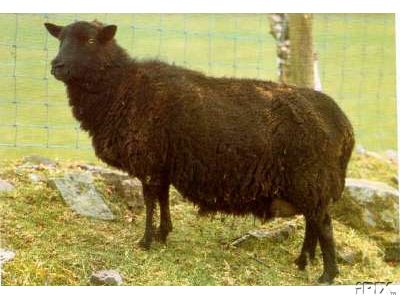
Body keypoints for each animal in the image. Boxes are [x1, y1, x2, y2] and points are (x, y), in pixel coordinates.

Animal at [44, 19, 356, 282]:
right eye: (60, 39)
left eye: (91, 40)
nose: (56, 66)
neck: (122, 88)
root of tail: (344, 125)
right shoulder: (162, 164)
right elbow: (163, 199)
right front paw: (163, 234)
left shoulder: (149, 163)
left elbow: (149, 202)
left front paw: (145, 241)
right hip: (309, 184)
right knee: (313, 222)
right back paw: (303, 261)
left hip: (310, 179)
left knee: (323, 225)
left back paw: (327, 275)